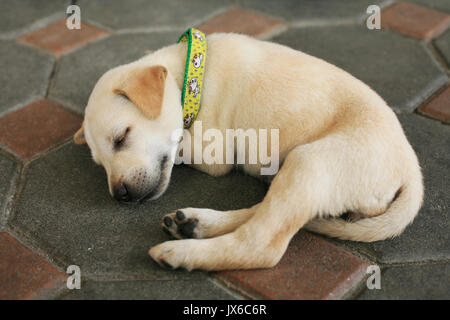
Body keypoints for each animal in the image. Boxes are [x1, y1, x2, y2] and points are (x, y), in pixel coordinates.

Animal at [73, 33, 422, 272]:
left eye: (121, 137)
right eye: (99, 163)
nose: (120, 195)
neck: (191, 73)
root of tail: (412, 172)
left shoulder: (212, 152)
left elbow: (182, 146)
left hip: (310, 161)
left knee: (261, 245)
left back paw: (183, 252)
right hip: (301, 172)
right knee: (268, 212)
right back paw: (196, 224)